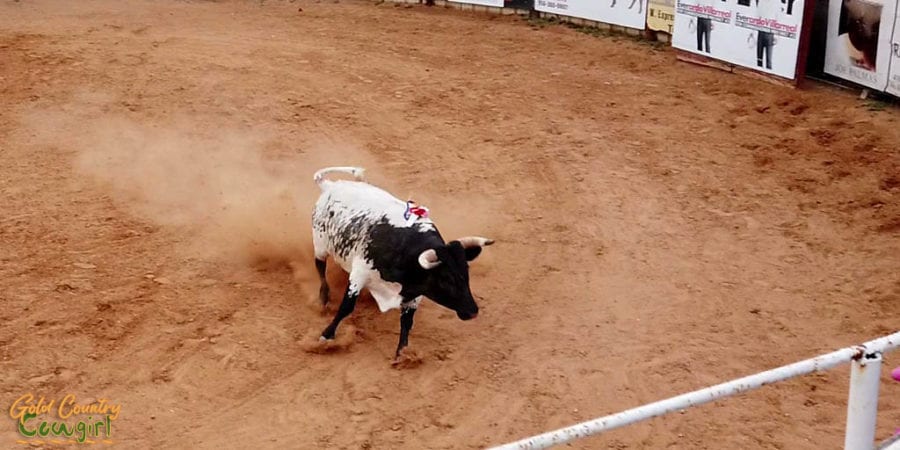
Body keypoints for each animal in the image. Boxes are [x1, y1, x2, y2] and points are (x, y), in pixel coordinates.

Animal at [310, 167, 492, 360]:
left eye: (466, 273)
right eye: (445, 279)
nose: (473, 311)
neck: (405, 250)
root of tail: (330, 185)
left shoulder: (416, 291)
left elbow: (407, 321)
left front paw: (403, 354)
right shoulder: (360, 274)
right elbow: (346, 307)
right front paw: (326, 336)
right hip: (320, 244)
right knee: (320, 266)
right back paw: (323, 298)